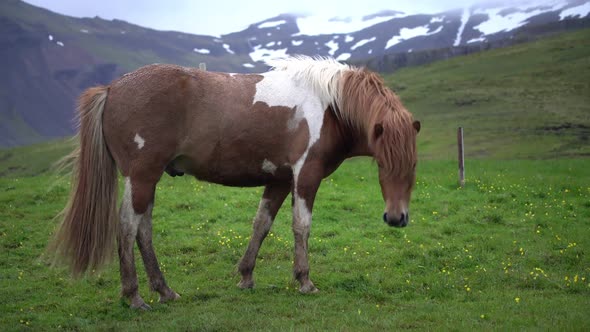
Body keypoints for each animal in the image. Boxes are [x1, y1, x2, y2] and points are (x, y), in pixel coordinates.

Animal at [49, 55, 420, 308]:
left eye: (413, 165)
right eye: (383, 162)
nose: (396, 218)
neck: (329, 106)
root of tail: (112, 88)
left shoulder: (279, 180)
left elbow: (261, 224)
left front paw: (246, 276)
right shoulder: (306, 175)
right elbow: (301, 226)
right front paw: (304, 280)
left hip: (147, 180)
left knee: (143, 230)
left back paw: (164, 290)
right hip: (141, 176)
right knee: (128, 227)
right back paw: (134, 296)